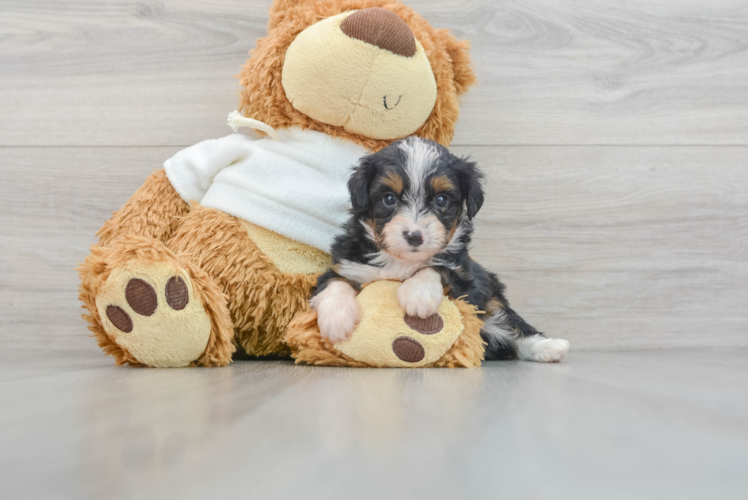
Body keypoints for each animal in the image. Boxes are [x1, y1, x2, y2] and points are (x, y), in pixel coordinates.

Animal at [310, 137, 568, 364]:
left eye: (441, 200)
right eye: (389, 198)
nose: (415, 236)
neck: (401, 261)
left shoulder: (467, 279)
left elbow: (438, 267)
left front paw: (418, 294)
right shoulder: (346, 263)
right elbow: (334, 283)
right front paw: (337, 318)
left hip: (491, 300)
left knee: (513, 327)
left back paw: (550, 347)